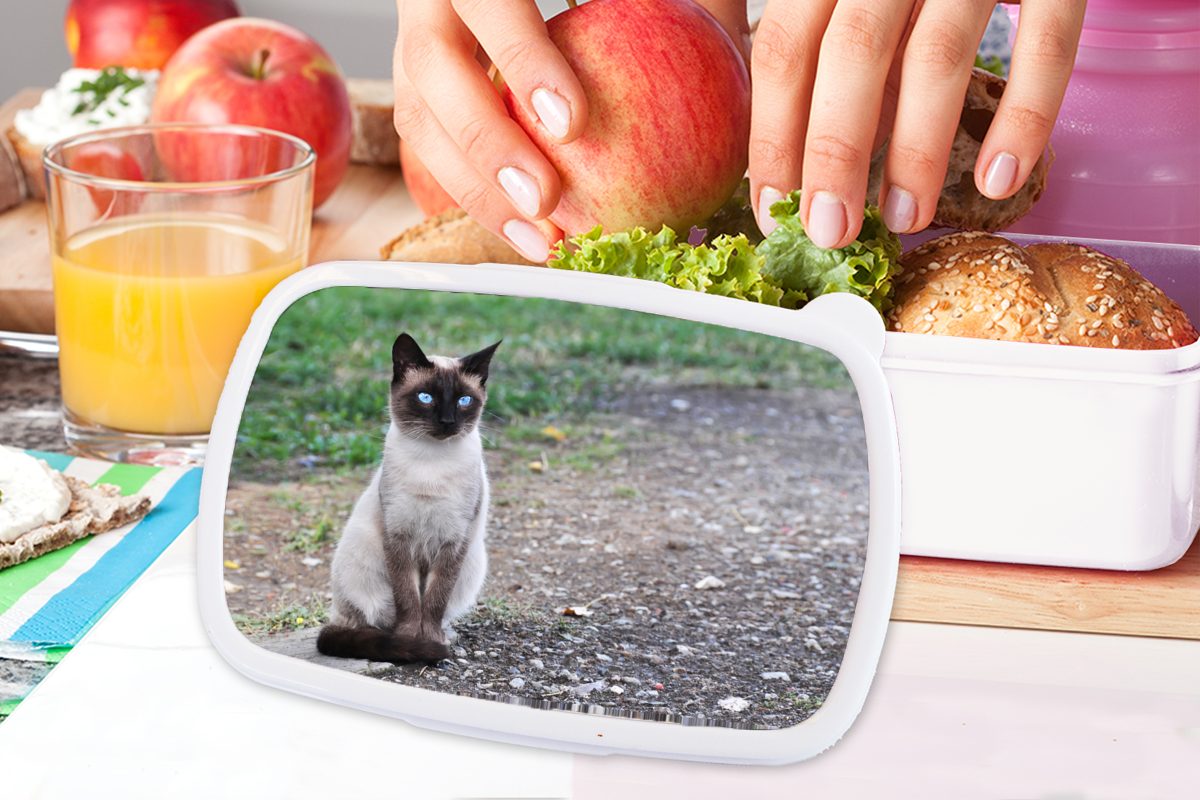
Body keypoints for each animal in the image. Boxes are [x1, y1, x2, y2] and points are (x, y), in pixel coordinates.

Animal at [316, 331, 499, 662]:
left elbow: (435, 599)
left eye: (464, 400)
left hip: (474, 561)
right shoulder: (398, 536)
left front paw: (431, 639)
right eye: (425, 397)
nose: (447, 421)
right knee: (368, 622)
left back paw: (444, 636)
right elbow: (408, 598)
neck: (431, 462)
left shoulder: (454, 540)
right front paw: (412, 640)